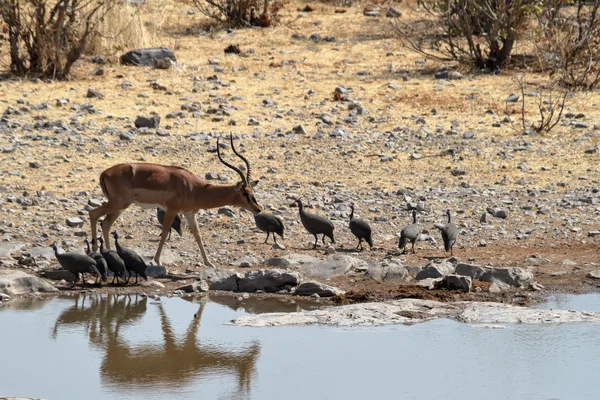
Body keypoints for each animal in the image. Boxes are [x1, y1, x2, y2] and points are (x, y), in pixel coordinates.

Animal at [88, 133, 262, 268]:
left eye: (252, 191)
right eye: (245, 193)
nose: (258, 209)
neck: (195, 189)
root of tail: (104, 173)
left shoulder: (190, 213)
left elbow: (198, 234)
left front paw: (209, 263)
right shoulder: (172, 210)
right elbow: (165, 231)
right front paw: (157, 261)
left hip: (120, 207)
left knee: (106, 223)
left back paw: (110, 253)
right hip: (119, 203)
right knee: (93, 213)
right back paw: (96, 249)